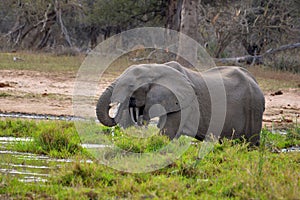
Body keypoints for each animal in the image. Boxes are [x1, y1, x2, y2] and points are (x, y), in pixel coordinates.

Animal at [96, 61, 264, 145]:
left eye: (131, 86)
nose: (112, 106)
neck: (155, 68)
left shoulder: (182, 102)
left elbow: (166, 134)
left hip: (254, 110)